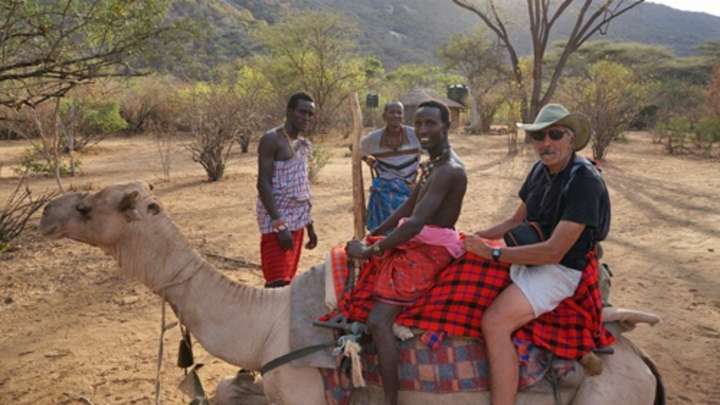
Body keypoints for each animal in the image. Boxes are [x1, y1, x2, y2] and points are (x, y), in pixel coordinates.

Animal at [39, 181, 664, 402]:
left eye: (88, 207)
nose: (46, 213)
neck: (265, 324)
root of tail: (641, 363)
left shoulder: (302, 392)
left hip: (608, 397)